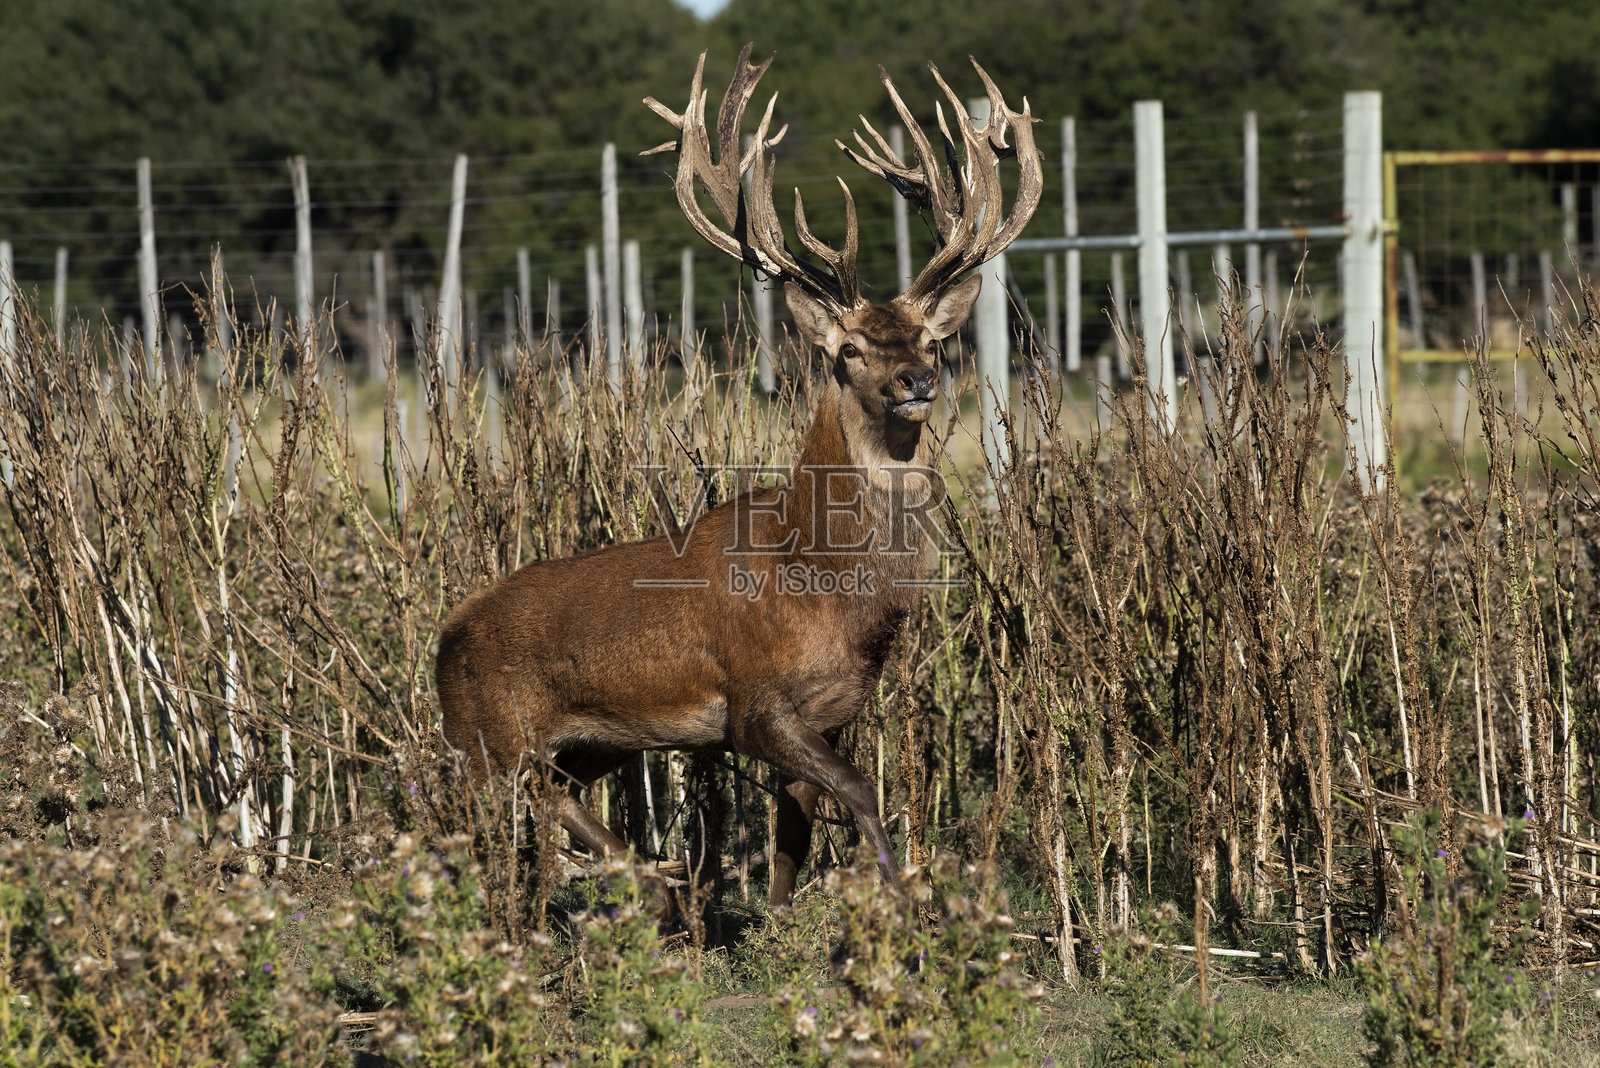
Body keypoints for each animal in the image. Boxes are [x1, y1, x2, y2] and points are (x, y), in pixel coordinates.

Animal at [435, 43, 1041, 906]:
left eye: (930, 338)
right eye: (849, 349)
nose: (914, 381)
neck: (821, 577)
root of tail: (443, 637)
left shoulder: (832, 709)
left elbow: (795, 834)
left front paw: (785, 918)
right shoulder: (755, 703)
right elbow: (860, 792)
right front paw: (898, 898)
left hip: (587, 740)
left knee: (558, 797)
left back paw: (653, 886)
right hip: (484, 734)